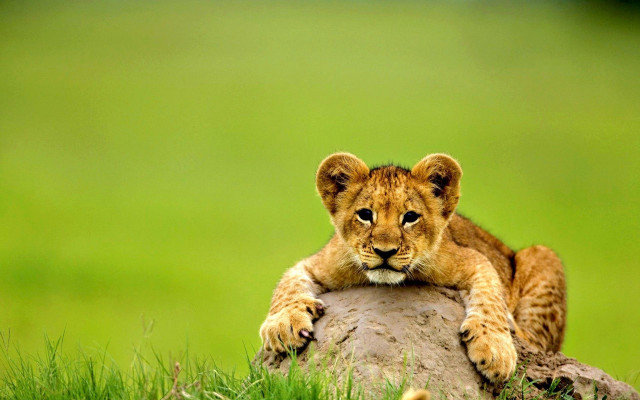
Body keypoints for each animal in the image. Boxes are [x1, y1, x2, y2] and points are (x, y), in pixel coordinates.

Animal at [259, 153, 567, 383]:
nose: (385, 251)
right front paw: (283, 325)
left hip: (543, 255)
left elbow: (491, 299)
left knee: (535, 341)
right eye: (365, 215)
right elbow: (287, 286)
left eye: (410, 217)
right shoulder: (320, 262)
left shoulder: (473, 258)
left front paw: (495, 348)